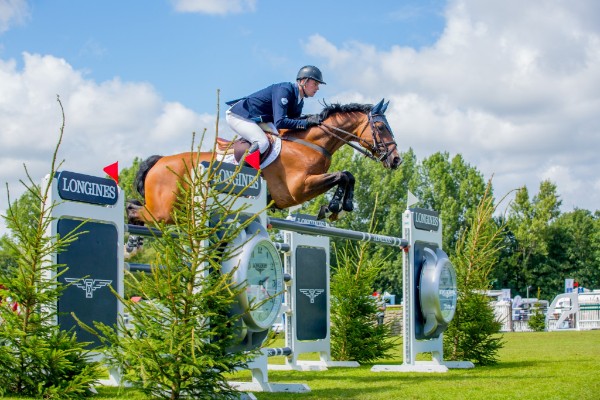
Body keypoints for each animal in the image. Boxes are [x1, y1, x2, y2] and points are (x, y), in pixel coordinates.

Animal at [126, 98, 398, 227]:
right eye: (381, 126)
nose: (396, 160)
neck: (308, 144)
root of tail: (159, 161)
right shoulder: (297, 190)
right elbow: (343, 175)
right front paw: (335, 206)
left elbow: (348, 175)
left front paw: (338, 207)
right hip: (163, 212)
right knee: (135, 210)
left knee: (136, 209)